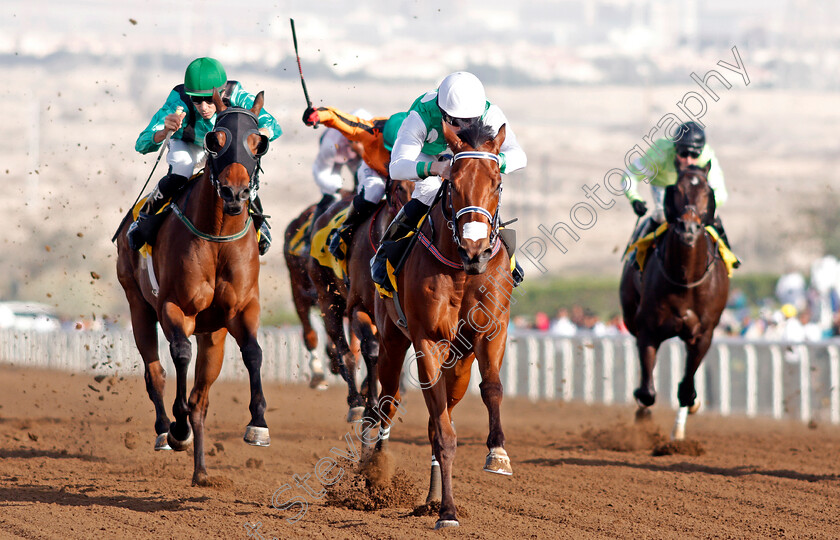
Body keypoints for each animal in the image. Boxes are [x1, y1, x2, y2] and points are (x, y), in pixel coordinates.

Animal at [115, 89, 270, 486]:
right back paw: (165, 430)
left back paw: (201, 472)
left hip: (212, 332)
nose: (234, 192)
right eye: (216, 140)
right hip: (138, 305)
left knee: (201, 398)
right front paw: (177, 428)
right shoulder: (175, 307)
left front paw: (258, 424)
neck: (216, 236)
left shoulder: (242, 309)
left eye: (258, 142)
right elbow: (180, 354)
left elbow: (254, 353)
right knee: (155, 373)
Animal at [372, 121, 512, 528]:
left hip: (460, 363)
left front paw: (497, 454)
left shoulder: (492, 331)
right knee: (387, 403)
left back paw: (432, 496)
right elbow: (444, 433)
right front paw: (447, 512)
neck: (462, 271)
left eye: (497, 182)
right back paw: (374, 475)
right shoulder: (428, 341)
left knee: (441, 414)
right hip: (391, 342)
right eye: (454, 183)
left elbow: (492, 388)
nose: (475, 250)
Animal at [616, 162, 728, 440]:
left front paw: (685, 419)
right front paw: (641, 413)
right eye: (676, 188)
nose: (688, 229)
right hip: (630, 318)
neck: (685, 278)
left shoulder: (703, 334)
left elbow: (686, 389)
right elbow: (647, 392)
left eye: (707, 190)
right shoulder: (648, 330)